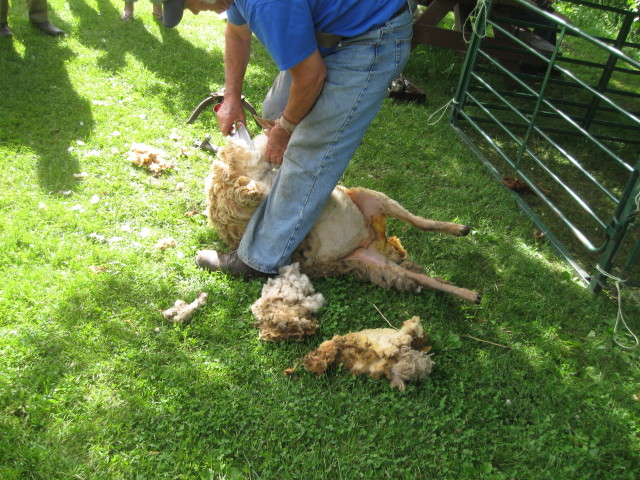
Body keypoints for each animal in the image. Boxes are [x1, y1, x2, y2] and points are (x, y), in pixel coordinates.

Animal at [204, 129, 482, 304]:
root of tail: (373, 240)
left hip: (374, 198)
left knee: (420, 223)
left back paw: (459, 229)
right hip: (377, 261)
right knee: (423, 276)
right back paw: (471, 294)